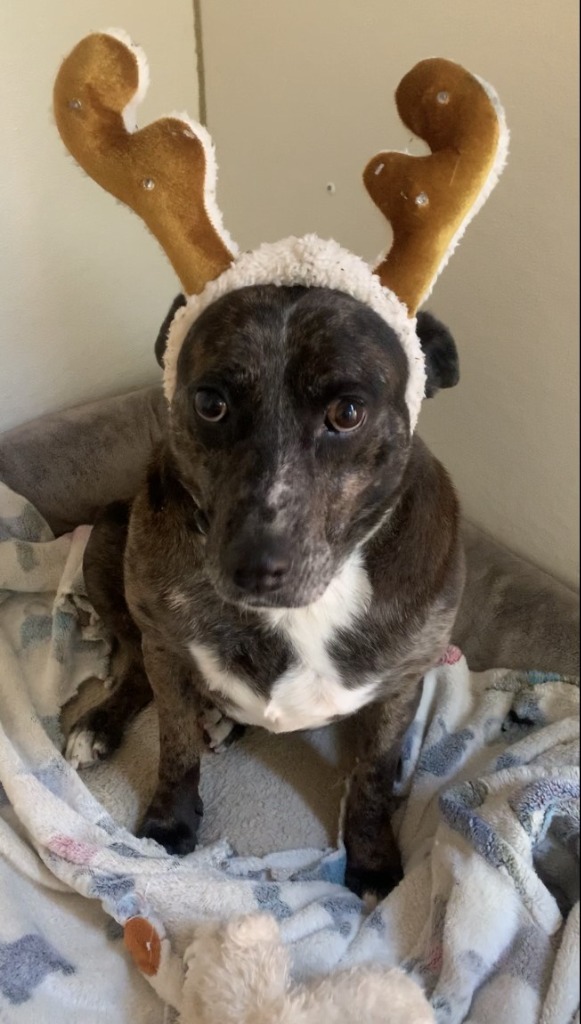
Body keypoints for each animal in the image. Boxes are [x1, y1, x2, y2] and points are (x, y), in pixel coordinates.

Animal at [64, 282, 463, 897]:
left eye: (348, 412)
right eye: (210, 402)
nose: (253, 565)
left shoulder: (401, 681)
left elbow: (372, 778)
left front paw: (372, 858)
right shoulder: (166, 647)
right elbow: (174, 746)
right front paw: (169, 825)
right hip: (108, 533)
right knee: (133, 667)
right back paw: (100, 726)